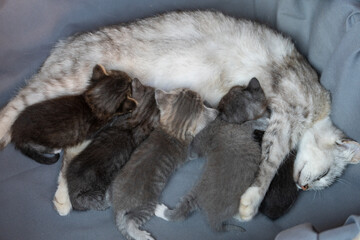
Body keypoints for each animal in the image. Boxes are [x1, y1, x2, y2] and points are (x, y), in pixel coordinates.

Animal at [111, 88, 218, 240]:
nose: (191, 90)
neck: (173, 130)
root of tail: (118, 206)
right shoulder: (187, 153)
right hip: (147, 206)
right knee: (129, 222)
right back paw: (142, 235)